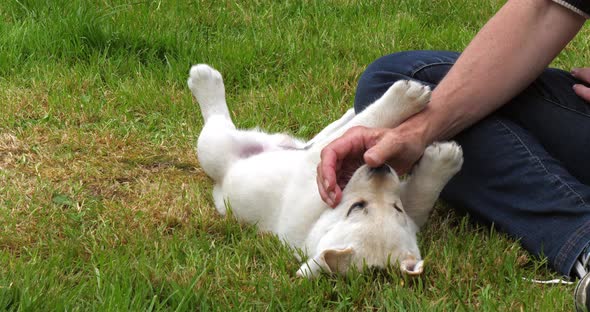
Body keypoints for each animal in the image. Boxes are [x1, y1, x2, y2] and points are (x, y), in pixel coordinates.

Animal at [190, 64, 462, 278]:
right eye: (357, 207)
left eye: (397, 208)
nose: (380, 167)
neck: (320, 221)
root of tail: (218, 187)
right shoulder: (313, 172)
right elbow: (362, 126)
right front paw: (405, 101)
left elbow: (420, 196)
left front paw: (442, 161)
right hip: (218, 147)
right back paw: (205, 80)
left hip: (256, 145)